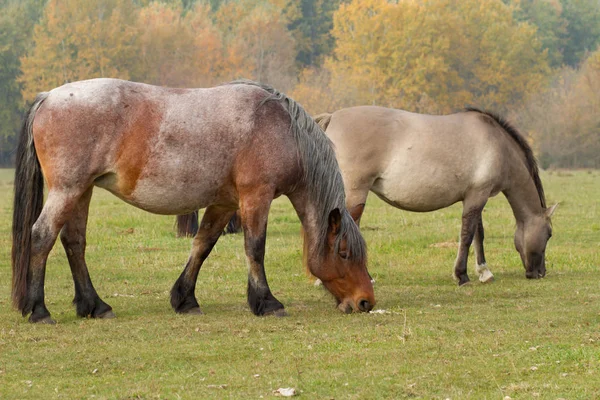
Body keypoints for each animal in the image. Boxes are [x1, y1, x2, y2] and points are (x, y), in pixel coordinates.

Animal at [11, 79, 372, 324]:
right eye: (343, 252)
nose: (365, 302)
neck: (279, 127)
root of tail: (48, 97)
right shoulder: (256, 196)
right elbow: (254, 248)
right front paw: (267, 302)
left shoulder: (225, 204)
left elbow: (202, 245)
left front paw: (184, 299)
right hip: (67, 190)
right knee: (42, 236)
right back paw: (39, 309)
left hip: (81, 191)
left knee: (74, 242)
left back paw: (95, 306)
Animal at [314, 106, 556, 284]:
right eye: (549, 234)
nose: (540, 273)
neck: (498, 144)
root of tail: (333, 117)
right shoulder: (478, 196)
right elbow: (467, 235)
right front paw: (461, 275)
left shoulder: (475, 196)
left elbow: (478, 234)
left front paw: (484, 272)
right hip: (355, 194)